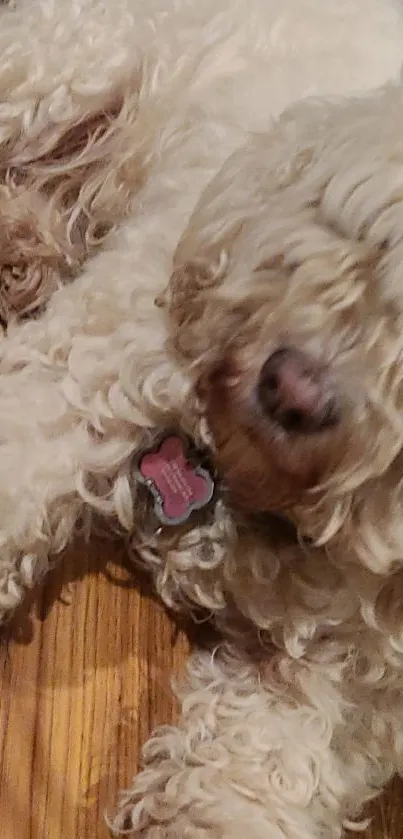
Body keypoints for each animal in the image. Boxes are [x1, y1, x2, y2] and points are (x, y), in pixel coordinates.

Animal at [0, 0, 403, 836]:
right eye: (373, 238)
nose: (291, 387)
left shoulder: (335, 696)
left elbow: (246, 781)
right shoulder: (74, 384)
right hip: (62, 61)